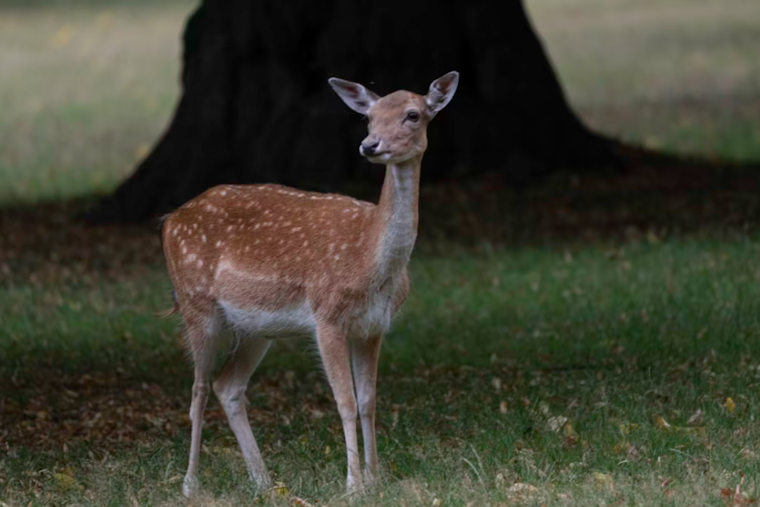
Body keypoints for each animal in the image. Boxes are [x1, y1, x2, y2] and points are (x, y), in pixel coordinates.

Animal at [160, 71, 459, 497]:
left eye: (413, 114)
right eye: (369, 117)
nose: (370, 145)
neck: (368, 259)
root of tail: (169, 221)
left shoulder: (373, 326)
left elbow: (369, 400)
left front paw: (376, 478)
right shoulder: (327, 316)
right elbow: (345, 401)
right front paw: (353, 485)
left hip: (256, 328)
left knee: (227, 386)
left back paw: (265, 482)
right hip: (195, 302)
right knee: (198, 389)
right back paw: (190, 484)